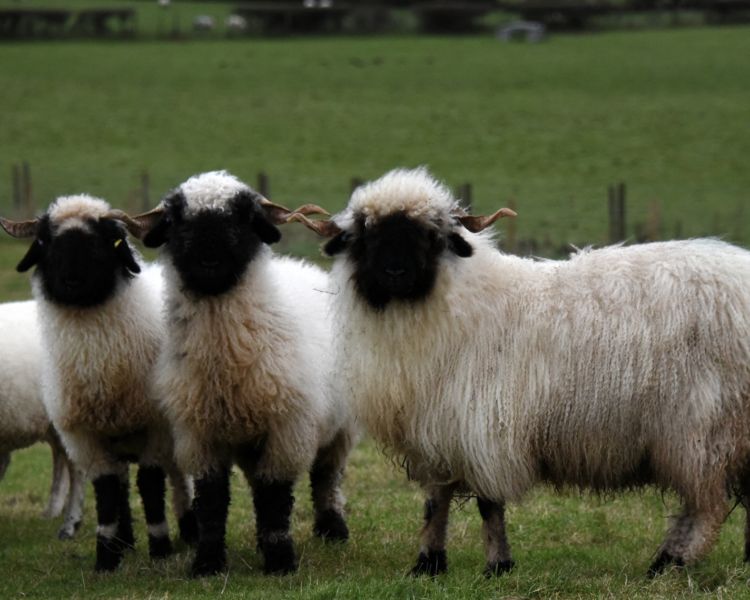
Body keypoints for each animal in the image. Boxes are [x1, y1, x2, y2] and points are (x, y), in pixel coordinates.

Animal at [129, 170, 355, 577]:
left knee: (326, 478)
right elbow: (212, 502)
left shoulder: (286, 430)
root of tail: (302, 267)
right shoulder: (199, 435)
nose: (208, 252)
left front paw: (280, 561)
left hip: (339, 429)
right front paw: (207, 562)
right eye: (177, 219)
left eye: (241, 217)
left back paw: (333, 529)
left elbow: (276, 497)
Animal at [292, 166, 750, 577]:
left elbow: (488, 504)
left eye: (431, 234)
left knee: (706, 507)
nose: (395, 272)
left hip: (702, 428)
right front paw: (428, 564)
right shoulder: (438, 429)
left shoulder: (484, 427)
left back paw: (668, 563)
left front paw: (498, 565)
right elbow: (435, 502)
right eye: (367, 233)